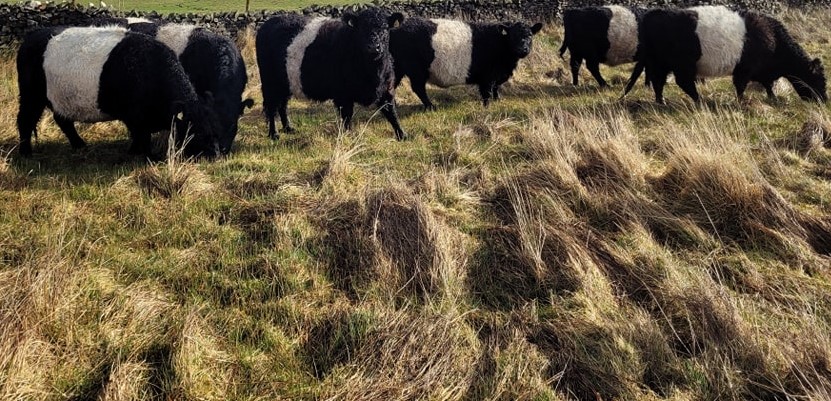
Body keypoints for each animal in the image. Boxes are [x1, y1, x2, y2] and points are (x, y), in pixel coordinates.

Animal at [16, 26, 223, 157]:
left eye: (215, 127)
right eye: (196, 129)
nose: (215, 154)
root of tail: (32, 36)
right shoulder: (134, 117)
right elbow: (141, 136)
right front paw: (142, 154)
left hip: (60, 99)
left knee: (63, 120)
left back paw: (80, 145)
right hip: (31, 96)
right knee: (25, 120)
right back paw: (25, 153)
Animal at [256, 8, 407, 140]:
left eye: (385, 28)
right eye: (361, 28)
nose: (373, 47)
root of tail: (268, 23)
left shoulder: (386, 88)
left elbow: (391, 112)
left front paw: (402, 135)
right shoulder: (343, 95)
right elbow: (347, 117)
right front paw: (348, 136)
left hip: (285, 83)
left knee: (282, 105)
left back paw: (288, 128)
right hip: (270, 82)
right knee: (272, 107)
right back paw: (274, 134)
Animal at [389, 18, 543, 109]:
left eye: (529, 35)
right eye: (513, 35)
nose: (522, 49)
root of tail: (397, 29)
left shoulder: (497, 75)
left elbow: (495, 88)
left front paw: (498, 100)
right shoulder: (487, 76)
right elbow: (487, 92)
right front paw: (487, 107)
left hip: (398, 68)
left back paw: (393, 105)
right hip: (417, 70)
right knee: (418, 88)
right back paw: (431, 106)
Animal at [623, 6, 827, 104]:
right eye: (818, 80)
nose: (824, 100)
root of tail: (653, 14)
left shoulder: (761, 71)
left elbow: (768, 85)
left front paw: (772, 97)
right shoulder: (745, 69)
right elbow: (741, 87)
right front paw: (742, 102)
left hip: (661, 63)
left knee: (659, 83)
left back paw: (662, 101)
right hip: (680, 64)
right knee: (682, 82)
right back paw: (699, 101)